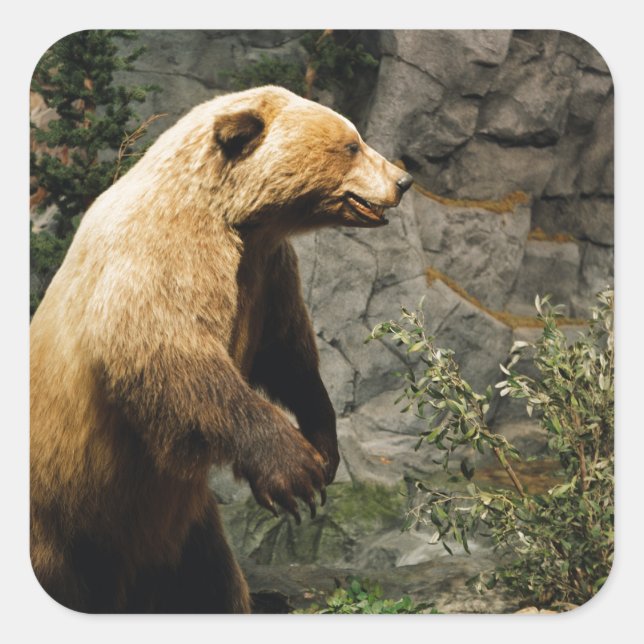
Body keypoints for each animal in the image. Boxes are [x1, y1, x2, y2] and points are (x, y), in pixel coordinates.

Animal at [30, 85, 413, 613]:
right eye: (351, 144)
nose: (403, 179)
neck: (237, 218)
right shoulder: (163, 255)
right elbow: (175, 356)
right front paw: (295, 472)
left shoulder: (268, 273)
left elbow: (288, 354)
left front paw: (324, 445)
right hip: (60, 520)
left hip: (181, 531)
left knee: (207, 582)